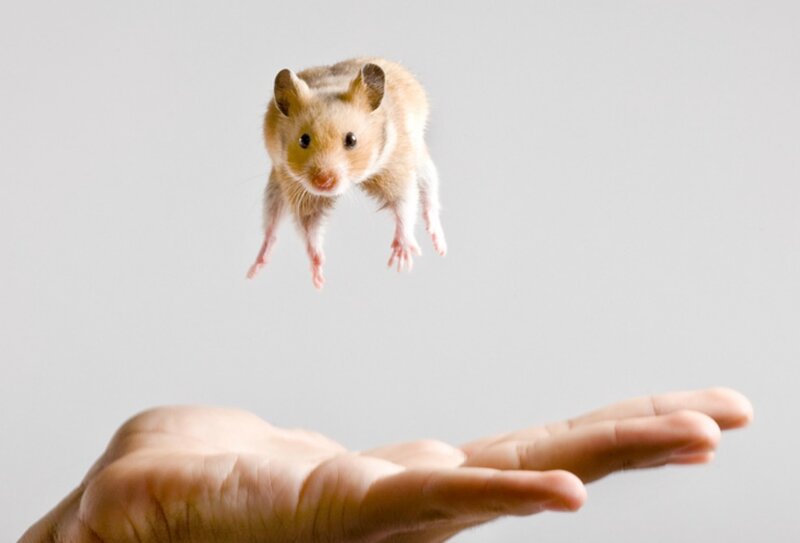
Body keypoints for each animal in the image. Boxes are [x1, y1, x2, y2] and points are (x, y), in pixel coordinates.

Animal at [246, 58, 447, 289]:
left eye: (351, 139)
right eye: (304, 140)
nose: (323, 182)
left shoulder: (396, 167)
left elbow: (404, 205)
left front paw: (402, 260)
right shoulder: (298, 189)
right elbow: (309, 228)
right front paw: (319, 279)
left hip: (420, 158)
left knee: (429, 195)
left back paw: (441, 246)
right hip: (275, 183)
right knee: (271, 225)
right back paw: (255, 267)